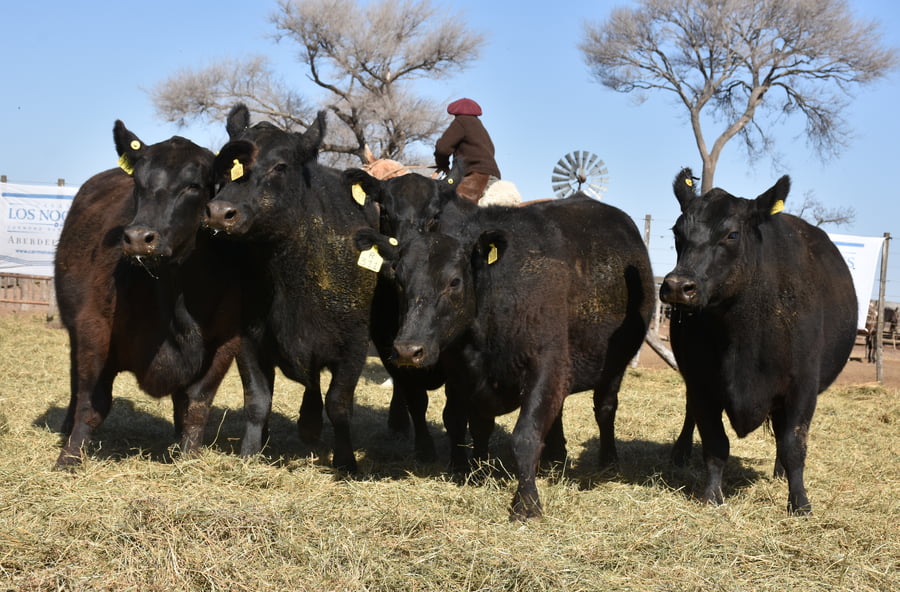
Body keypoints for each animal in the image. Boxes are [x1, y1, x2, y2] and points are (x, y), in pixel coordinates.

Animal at [54, 122, 241, 468]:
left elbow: (197, 404)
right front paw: (70, 457)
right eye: (138, 183)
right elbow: (91, 401)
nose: (139, 237)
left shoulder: (226, 340)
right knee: (75, 382)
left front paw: (189, 457)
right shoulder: (93, 327)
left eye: (193, 186)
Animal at [203, 104, 378, 472]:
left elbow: (339, 404)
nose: (219, 212)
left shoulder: (355, 344)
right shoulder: (247, 340)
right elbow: (257, 400)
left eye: (280, 166)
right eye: (229, 164)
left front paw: (346, 462)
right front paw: (250, 453)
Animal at [354, 194, 655, 520]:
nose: (408, 350)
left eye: (454, 281)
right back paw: (555, 459)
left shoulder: (545, 366)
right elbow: (466, 423)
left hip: (614, 366)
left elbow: (525, 435)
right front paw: (473, 470)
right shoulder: (464, 375)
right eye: (398, 278)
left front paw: (527, 502)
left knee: (605, 409)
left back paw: (608, 461)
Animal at [659, 168, 857, 515]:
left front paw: (800, 503)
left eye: (732, 235)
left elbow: (793, 444)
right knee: (689, 415)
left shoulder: (802, 387)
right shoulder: (701, 383)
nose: (678, 286)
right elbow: (714, 442)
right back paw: (680, 454)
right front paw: (712, 496)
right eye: (677, 232)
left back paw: (780, 473)